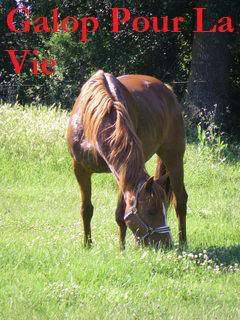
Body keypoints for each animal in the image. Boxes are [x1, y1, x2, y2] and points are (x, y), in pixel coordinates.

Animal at [67, 70, 188, 250]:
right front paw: (87, 245)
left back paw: (184, 243)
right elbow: (86, 209)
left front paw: (121, 249)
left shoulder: (123, 174)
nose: (166, 243)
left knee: (180, 200)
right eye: (151, 211)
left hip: (174, 157)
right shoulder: (80, 169)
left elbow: (120, 215)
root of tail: (167, 89)